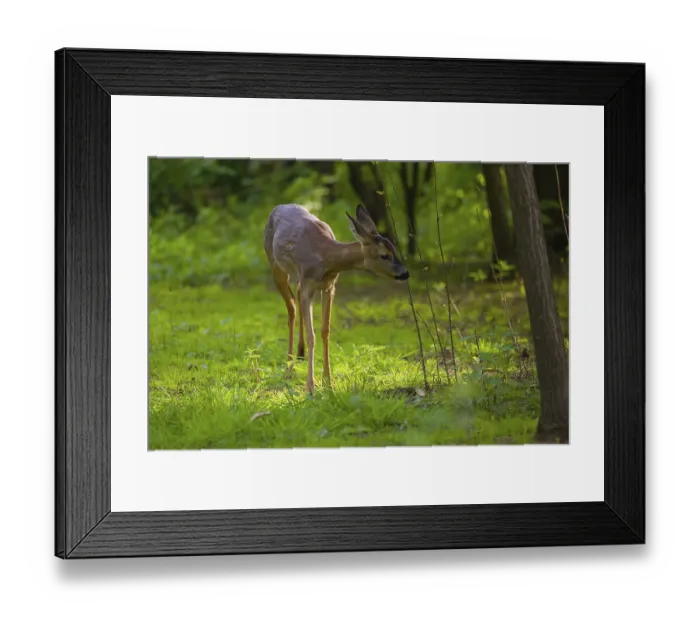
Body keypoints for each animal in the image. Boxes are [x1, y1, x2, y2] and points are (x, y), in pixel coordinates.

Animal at [264, 204, 410, 395]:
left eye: (394, 248)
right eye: (384, 255)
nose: (405, 273)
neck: (326, 257)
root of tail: (278, 207)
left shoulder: (329, 287)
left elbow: (325, 331)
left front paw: (328, 383)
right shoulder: (309, 285)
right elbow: (312, 335)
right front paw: (310, 387)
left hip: (298, 278)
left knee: (296, 296)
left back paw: (300, 354)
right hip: (275, 265)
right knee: (291, 308)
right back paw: (289, 369)